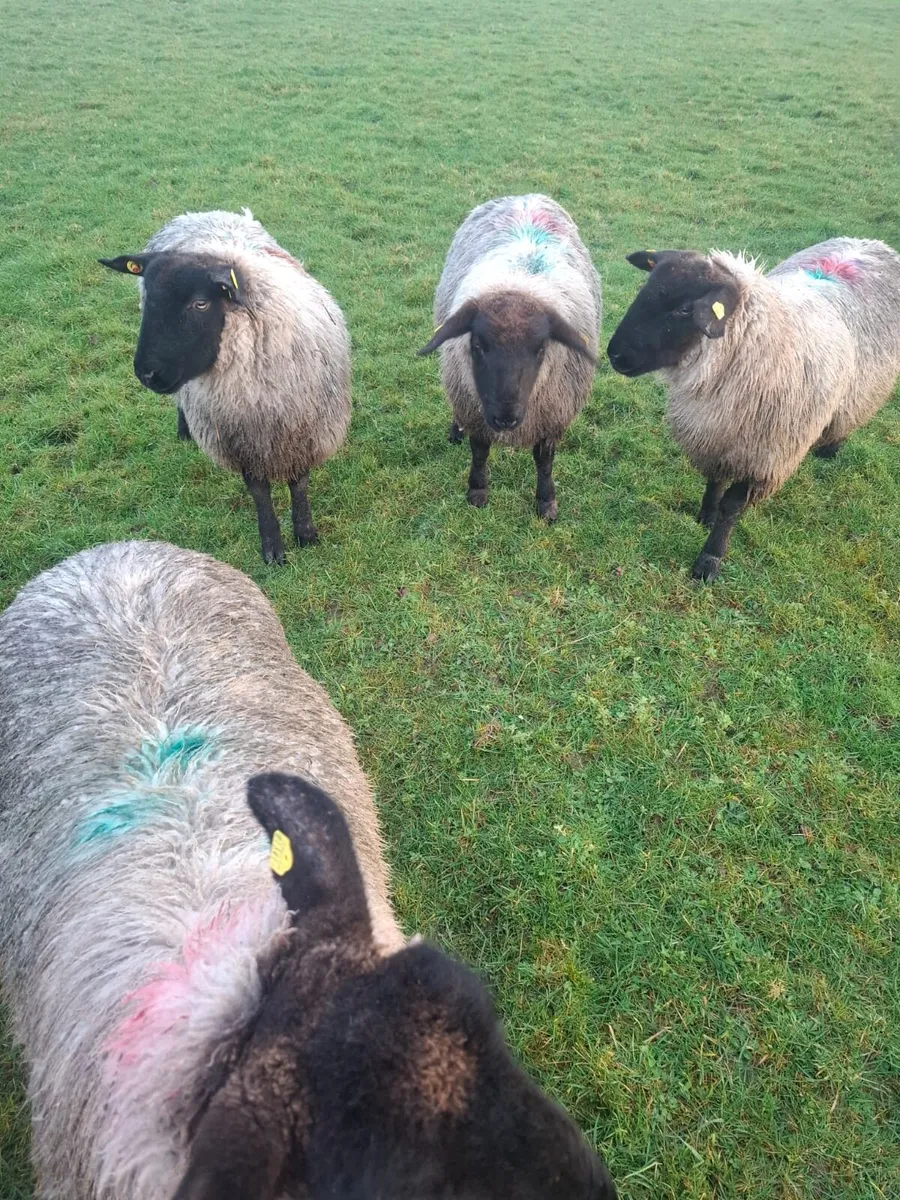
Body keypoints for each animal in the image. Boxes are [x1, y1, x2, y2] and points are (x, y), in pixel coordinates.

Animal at [100, 209, 351, 565]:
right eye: (150, 299)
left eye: (201, 304)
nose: (147, 374)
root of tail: (201, 213)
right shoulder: (238, 437)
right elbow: (259, 490)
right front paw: (272, 547)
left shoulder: (304, 426)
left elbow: (299, 481)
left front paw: (305, 534)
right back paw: (184, 431)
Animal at [418, 195, 601, 521]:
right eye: (478, 345)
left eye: (540, 348)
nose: (505, 417)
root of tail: (526, 196)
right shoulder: (475, 408)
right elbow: (479, 450)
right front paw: (477, 492)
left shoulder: (553, 414)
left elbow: (544, 461)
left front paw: (546, 502)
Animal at [606, 237, 900, 580]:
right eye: (648, 286)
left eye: (685, 309)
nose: (615, 354)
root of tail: (870, 242)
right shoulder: (718, 436)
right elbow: (714, 482)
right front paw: (705, 516)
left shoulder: (765, 454)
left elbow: (732, 506)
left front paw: (710, 559)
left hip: (864, 389)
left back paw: (830, 448)